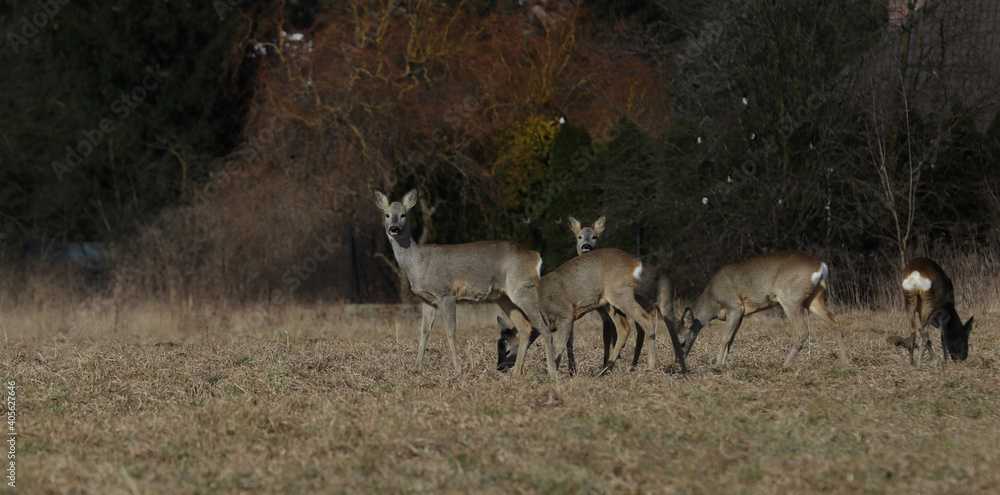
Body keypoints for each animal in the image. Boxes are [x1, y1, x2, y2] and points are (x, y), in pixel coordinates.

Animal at [373, 188, 559, 379]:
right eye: (387, 214)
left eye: (404, 214)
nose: (394, 228)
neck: (417, 262)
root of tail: (536, 256)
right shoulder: (426, 299)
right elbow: (424, 330)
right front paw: (417, 367)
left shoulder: (445, 293)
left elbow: (451, 331)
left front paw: (458, 370)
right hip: (503, 295)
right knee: (525, 327)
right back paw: (516, 373)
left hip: (523, 288)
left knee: (544, 327)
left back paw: (552, 373)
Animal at [495, 247, 688, 375]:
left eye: (507, 350)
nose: (499, 368)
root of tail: (635, 262)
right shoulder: (569, 320)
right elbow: (569, 344)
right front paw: (571, 371)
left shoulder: (566, 314)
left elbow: (559, 344)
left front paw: (553, 371)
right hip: (611, 304)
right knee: (625, 329)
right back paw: (606, 369)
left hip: (621, 294)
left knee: (647, 321)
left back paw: (650, 367)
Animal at [676, 250, 850, 368]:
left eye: (682, 342)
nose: (678, 360)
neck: (712, 300)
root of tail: (821, 267)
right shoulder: (741, 314)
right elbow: (731, 339)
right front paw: (724, 364)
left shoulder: (734, 307)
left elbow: (724, 338)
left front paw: (717, 365)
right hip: (813, 298)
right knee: (834, 321)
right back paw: (845, 362)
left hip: (790, 298)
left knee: (802, 331)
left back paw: (785, 364)